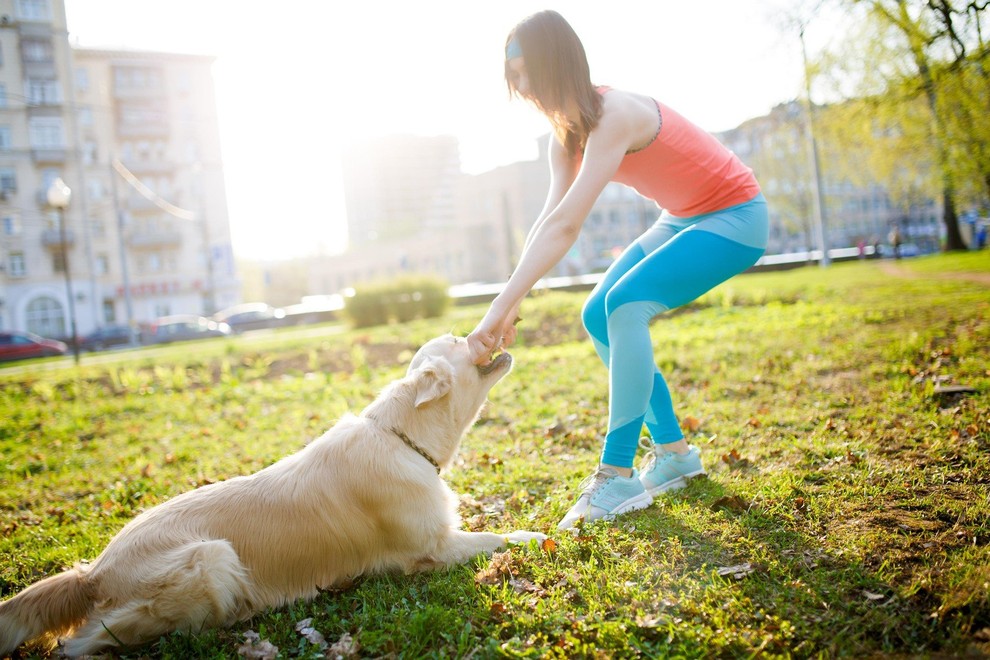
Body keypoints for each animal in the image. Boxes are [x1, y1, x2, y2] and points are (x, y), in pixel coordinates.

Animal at [0, 336, 548, 656]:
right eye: (457, 341)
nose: (485, 331)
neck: (400, 437)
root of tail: (94, 571)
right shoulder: (431, 549)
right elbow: (496, 538)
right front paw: (533, 535)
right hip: (210, 557)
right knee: (78, 644)